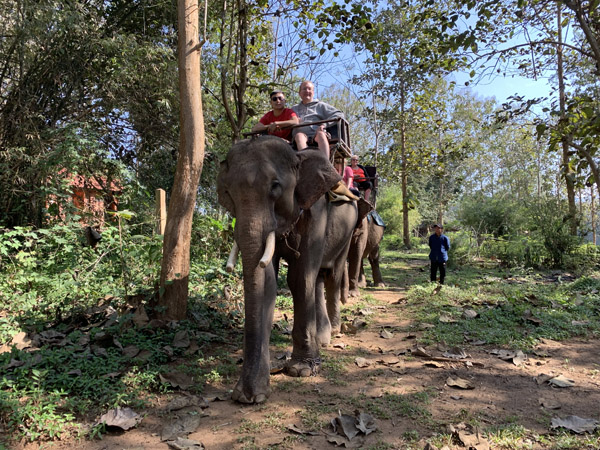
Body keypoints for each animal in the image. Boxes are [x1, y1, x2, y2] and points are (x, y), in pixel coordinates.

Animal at [218, 135, 358, 402]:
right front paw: (250, 394)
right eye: (227, 191)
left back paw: (333, 332)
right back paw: (322, 338)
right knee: (319, 278)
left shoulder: (316, 211)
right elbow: (268, 280)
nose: (247, 395)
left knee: (332, 275)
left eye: (275, 186)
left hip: (349, 231)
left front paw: (301, 369)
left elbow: (299, 278)